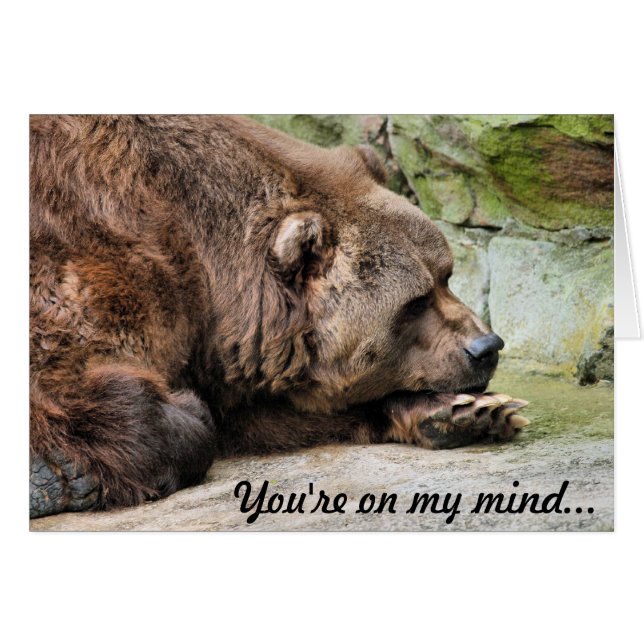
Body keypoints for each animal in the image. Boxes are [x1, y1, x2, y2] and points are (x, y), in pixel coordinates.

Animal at [29, 115, 525, 518]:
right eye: (416, 302)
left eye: (446, 275)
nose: (486, 346)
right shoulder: (93, 248)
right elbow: (74, 380)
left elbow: (262, 414)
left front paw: (472, 410)